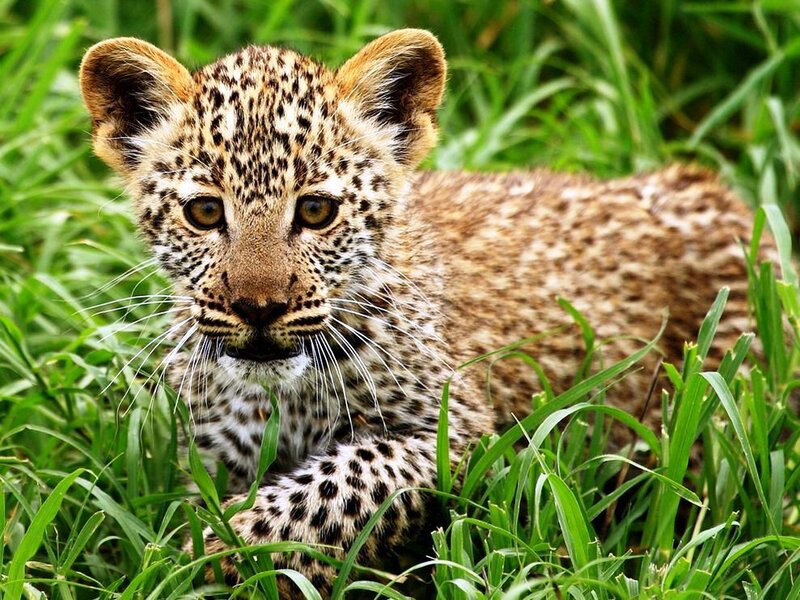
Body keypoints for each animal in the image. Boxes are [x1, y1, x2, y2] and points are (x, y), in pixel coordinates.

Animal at [79, 29, 766, 596]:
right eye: (203, 212)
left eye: (316, 211)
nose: (258, 307)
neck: (282, 396)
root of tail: (710, 188)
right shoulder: (210, 453)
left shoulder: (460, 432)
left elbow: (334, 488)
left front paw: (205, 554)